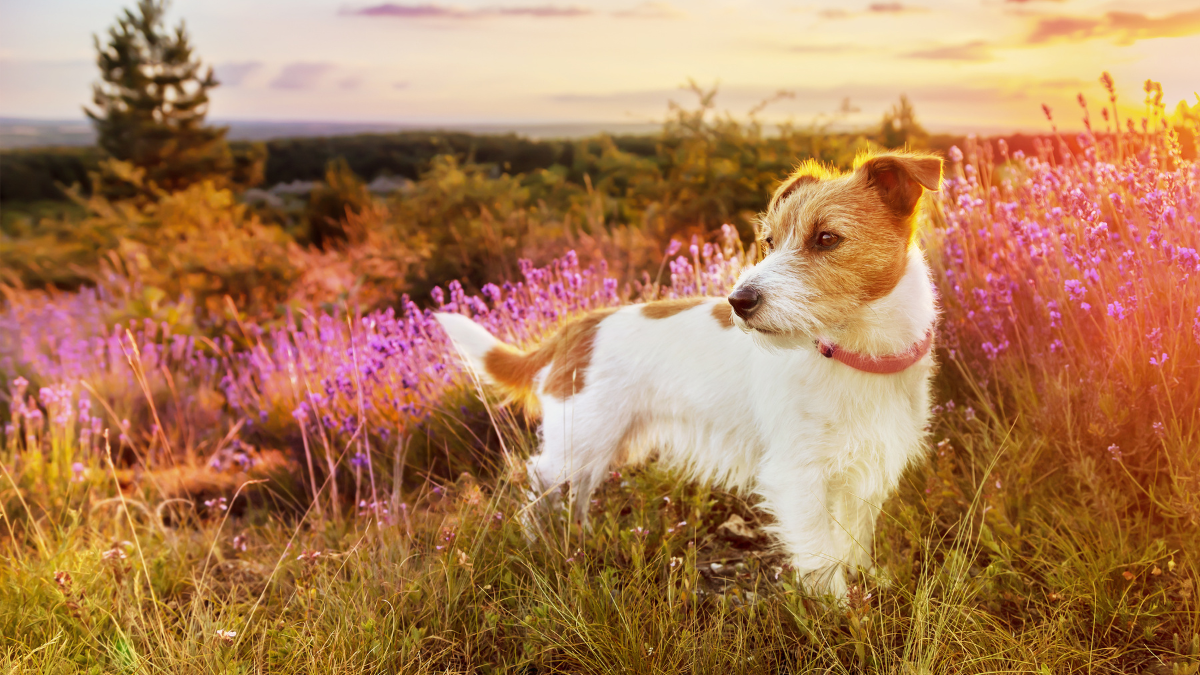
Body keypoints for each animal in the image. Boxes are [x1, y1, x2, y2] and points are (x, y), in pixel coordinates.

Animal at [436, 152, 940, 593]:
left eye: (827, 238)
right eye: (770, 242)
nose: (739, 301)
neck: (855, 354)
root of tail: (577, 326)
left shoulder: (868, 466)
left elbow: (855, 538)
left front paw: (869, 582)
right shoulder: (799, 477)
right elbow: (821, 557)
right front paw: (840, 615)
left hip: (597, 448)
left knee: (573, 495)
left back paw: (576, 543)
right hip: (578, 441)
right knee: (539, 488)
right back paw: (541, 547)